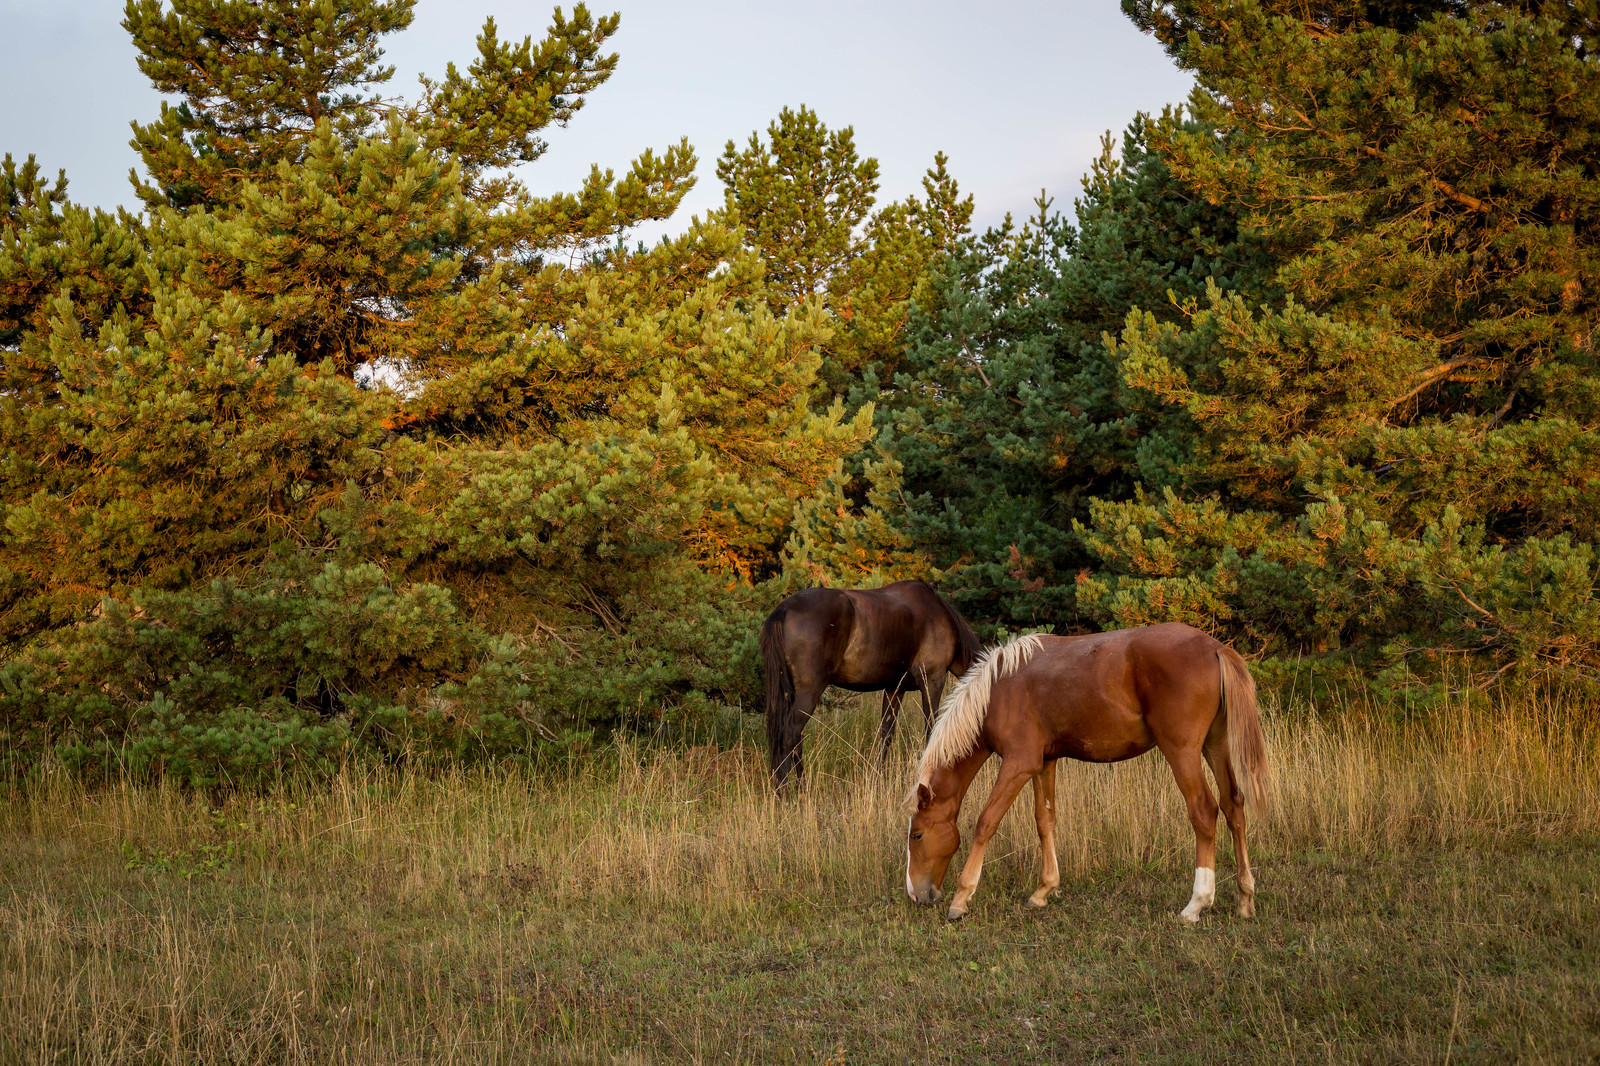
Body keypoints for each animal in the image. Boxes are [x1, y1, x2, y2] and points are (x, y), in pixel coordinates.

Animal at [758, 576, 979, 784]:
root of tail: (783, 610)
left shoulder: (894, 689)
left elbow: (886, 734)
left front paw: (877, 778)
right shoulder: (932, 681)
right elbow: (931, 729)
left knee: (792, 740)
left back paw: (799, 787)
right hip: (809, 693)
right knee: (789, 737)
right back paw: (786, 791)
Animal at [908, 627, 1267, 915]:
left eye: (918, 835)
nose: (916, 894)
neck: (998, 690)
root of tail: (1214, 648)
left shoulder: (1018, 764)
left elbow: (986, 822)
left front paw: (962, 898)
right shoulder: (1043, 763)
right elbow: (1044, 820)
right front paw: (1044, 890)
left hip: (1182, 752)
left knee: (1204, 811)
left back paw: (1196, 904)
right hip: (1216, 746)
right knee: (1233, 806)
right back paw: (1245, 898)